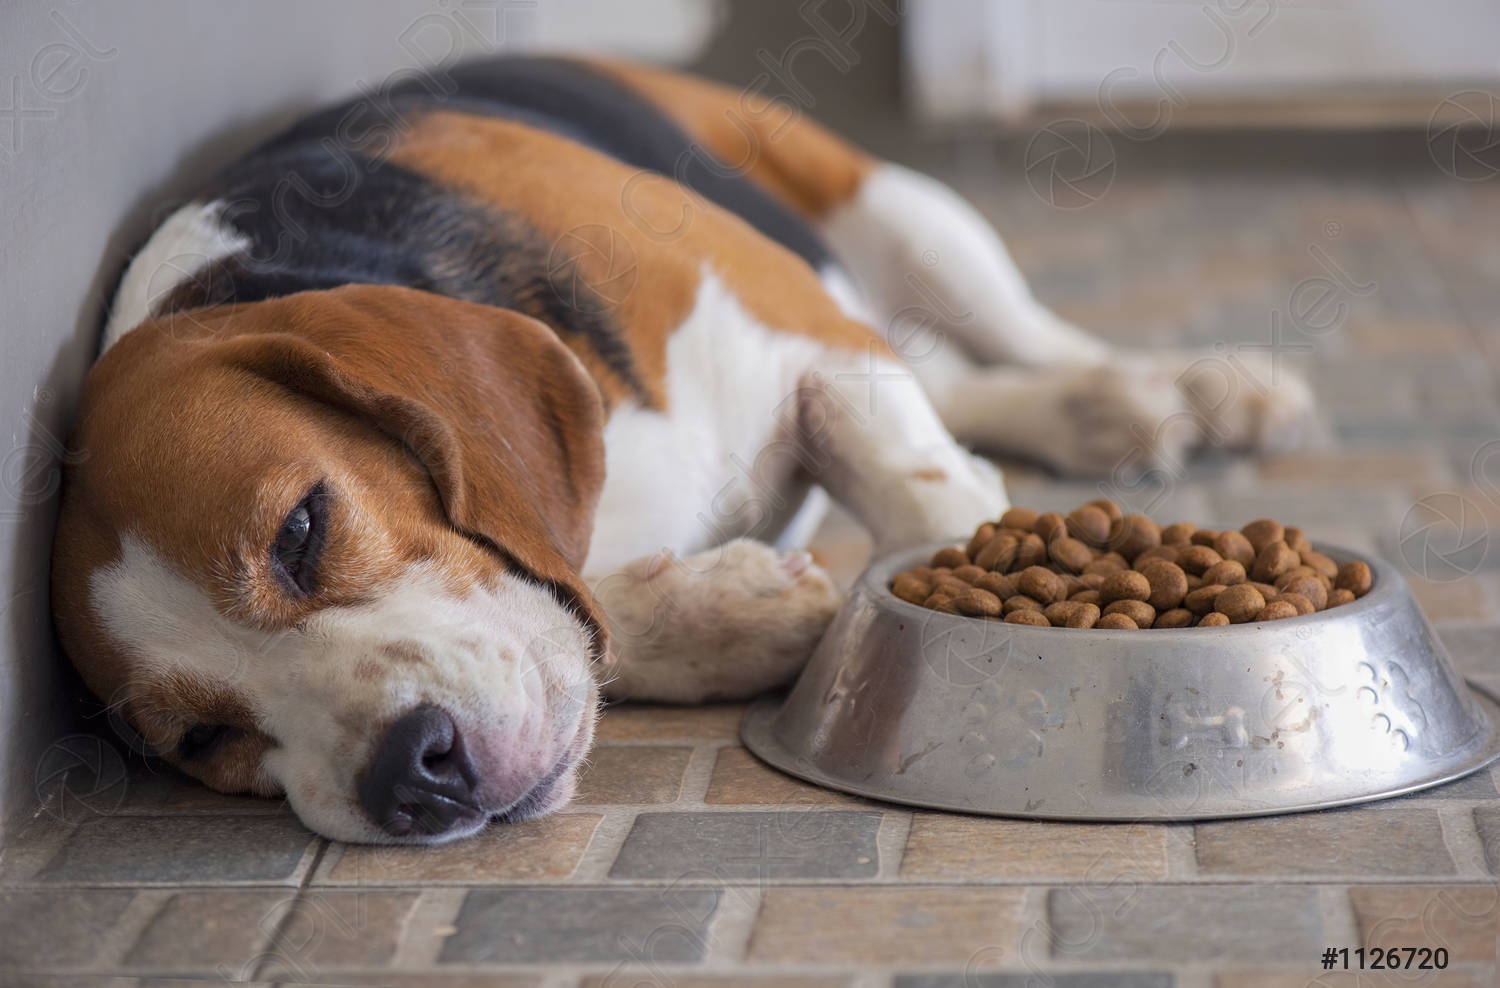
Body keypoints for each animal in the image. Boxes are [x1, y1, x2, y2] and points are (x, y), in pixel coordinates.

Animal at [49, 56, 1314, 845]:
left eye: (301, 531)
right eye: (204, 739)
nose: (408, 771)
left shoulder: (802, 331)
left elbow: (924, 505)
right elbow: (591, 608)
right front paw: (733, 616)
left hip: (900, 210)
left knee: (1024, 332)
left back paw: (1172, 392)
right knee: (963, 374)